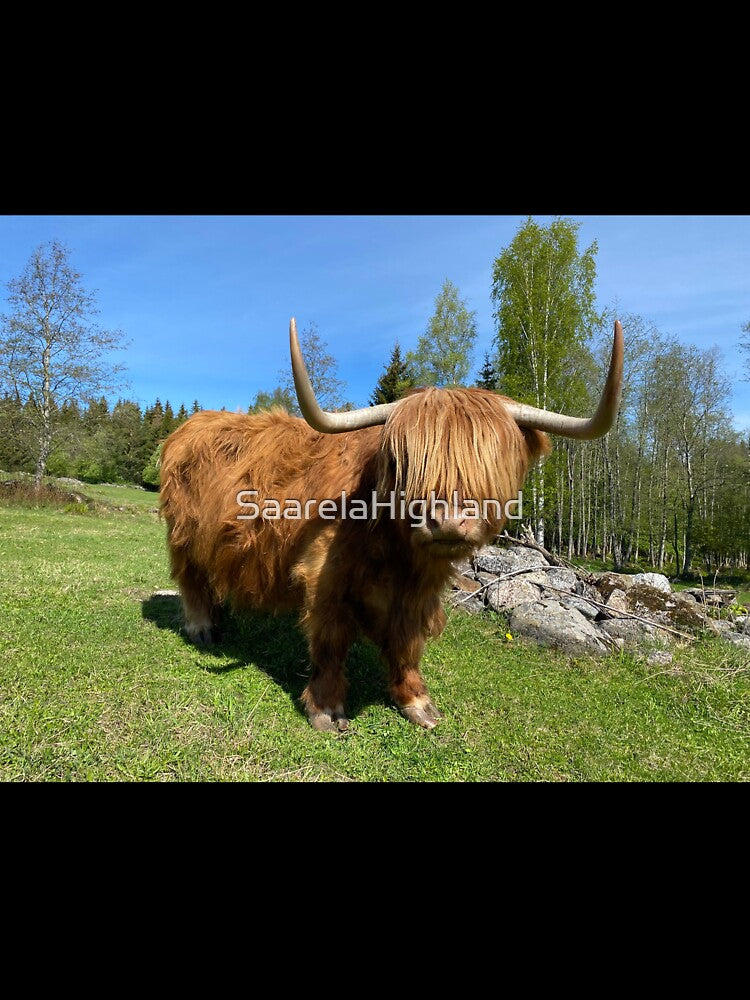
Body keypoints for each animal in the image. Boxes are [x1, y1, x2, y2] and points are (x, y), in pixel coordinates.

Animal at [160, 318, 623, 732]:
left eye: (490, 461)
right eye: (405, 461)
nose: (447, 520)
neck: (395, 548)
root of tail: (192, 423)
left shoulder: (418, 592)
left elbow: (406, 645)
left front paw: (417, 703)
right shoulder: (325, 577)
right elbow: (330, 641)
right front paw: (327, 709)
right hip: (182, 534)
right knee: (190, 578)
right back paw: (203, 628)